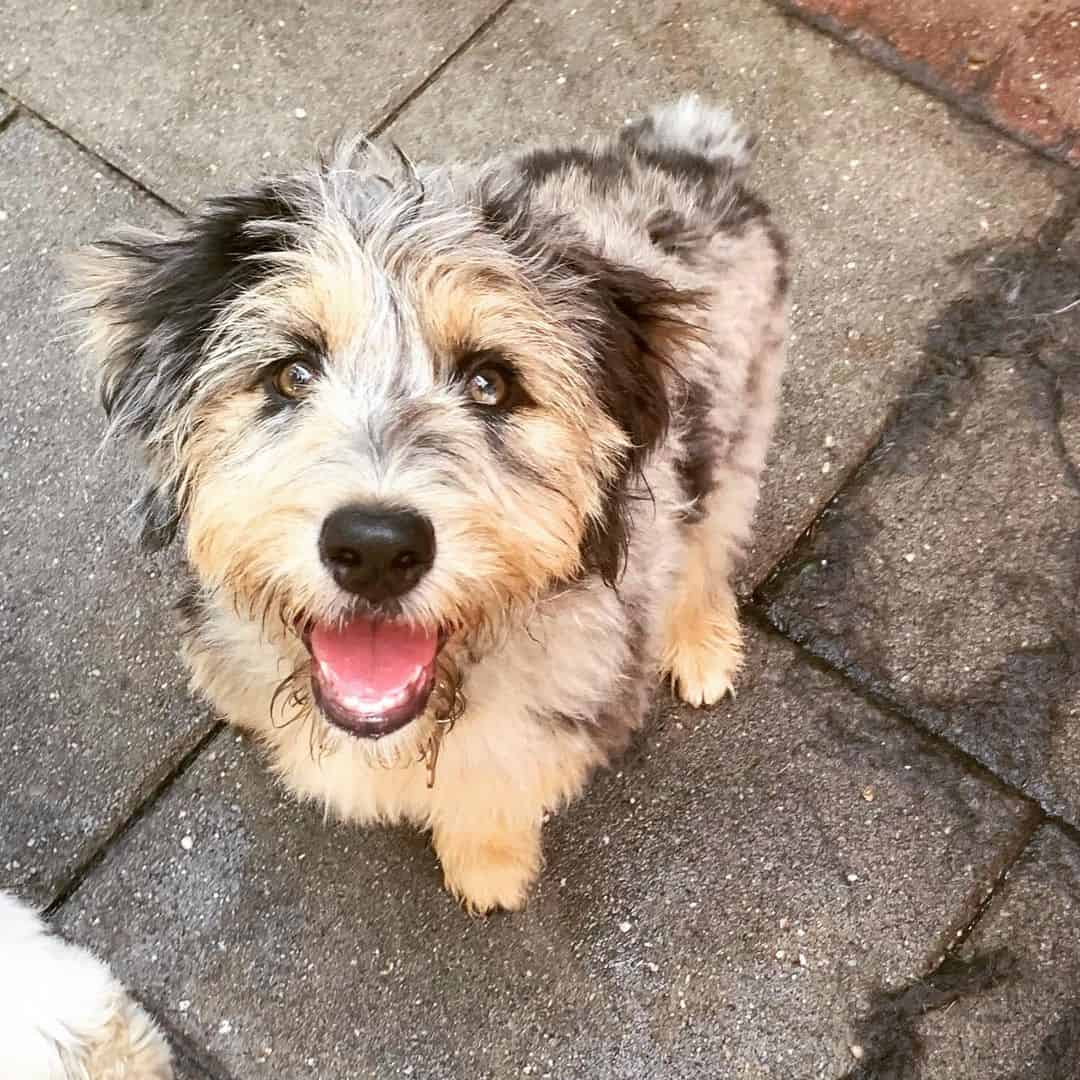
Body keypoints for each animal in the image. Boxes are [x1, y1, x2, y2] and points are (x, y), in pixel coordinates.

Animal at [71, 99, 790, 911]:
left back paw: (701, 644)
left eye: (491, 382)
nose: (376, 548)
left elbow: (494, 790)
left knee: (710, 546)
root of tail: (686, 155)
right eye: (291, 374)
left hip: (740, 427)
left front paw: (490, 866)